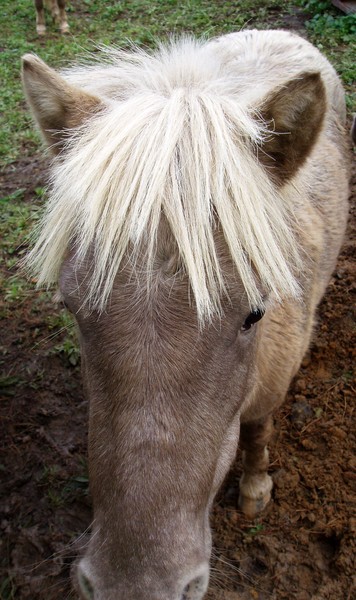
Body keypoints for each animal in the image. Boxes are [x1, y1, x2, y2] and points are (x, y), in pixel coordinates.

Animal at [22, 30, 350, 600]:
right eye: (72, 307)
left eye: (254, 315)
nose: (137, 586)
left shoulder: (272, 384)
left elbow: (258, 430)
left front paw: (255, 487)